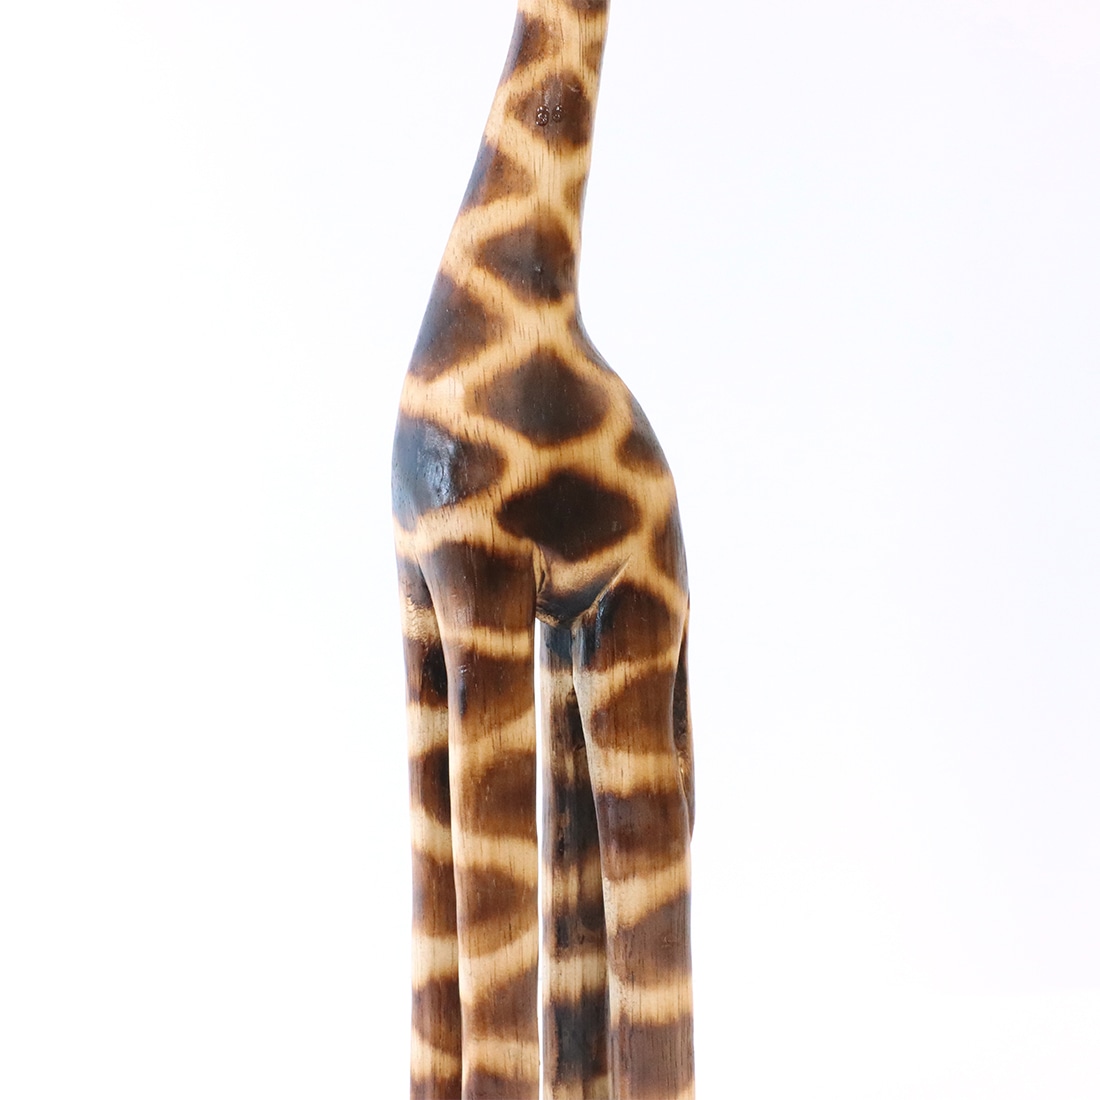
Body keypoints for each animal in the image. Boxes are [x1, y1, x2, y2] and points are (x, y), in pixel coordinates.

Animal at [392, 1, 694, 1097]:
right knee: (581, 896)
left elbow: (489, 915)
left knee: (645, 855)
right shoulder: (417, 588)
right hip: (572, 640)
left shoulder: (478, 577)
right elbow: (439, 909)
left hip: (625, 624)